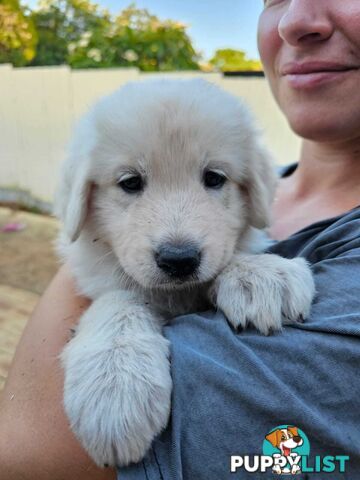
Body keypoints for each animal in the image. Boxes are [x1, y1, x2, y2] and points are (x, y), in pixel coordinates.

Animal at [54, 78, 316, 464]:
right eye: (130, 182)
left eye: (214, 178)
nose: (179, 259)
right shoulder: (102, 279)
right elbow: (120, 303)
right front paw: (114, 388)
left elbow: (232, 253)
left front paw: (262, 274)